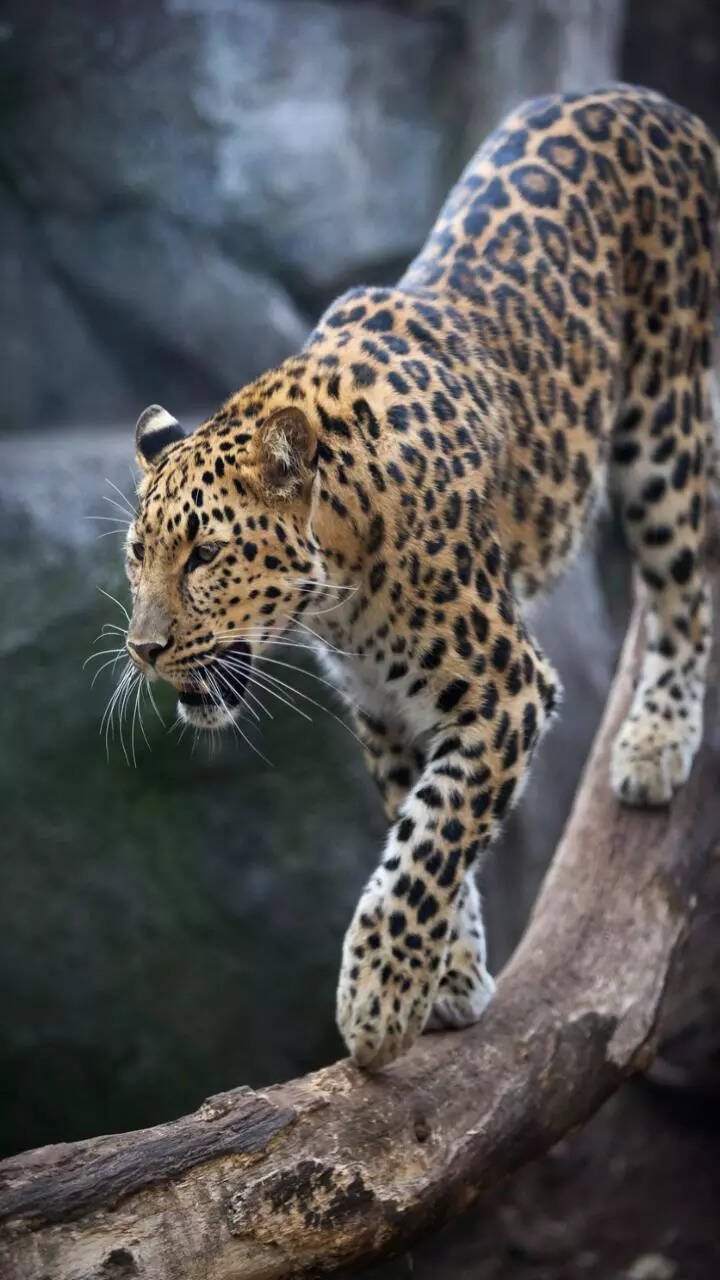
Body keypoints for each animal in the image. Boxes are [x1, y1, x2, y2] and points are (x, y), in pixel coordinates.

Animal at [121, 85, 719, 1070]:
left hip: (665, 426)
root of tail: (651, 101)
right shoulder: (386, 711)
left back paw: (655, 742)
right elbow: (428, 827)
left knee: (685, 589)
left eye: (204, 553)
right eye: (136, 556)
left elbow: (434, 842)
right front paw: (451, 975)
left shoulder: (509, 687)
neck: (338, 591)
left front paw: (380, 997)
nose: (142, 649)